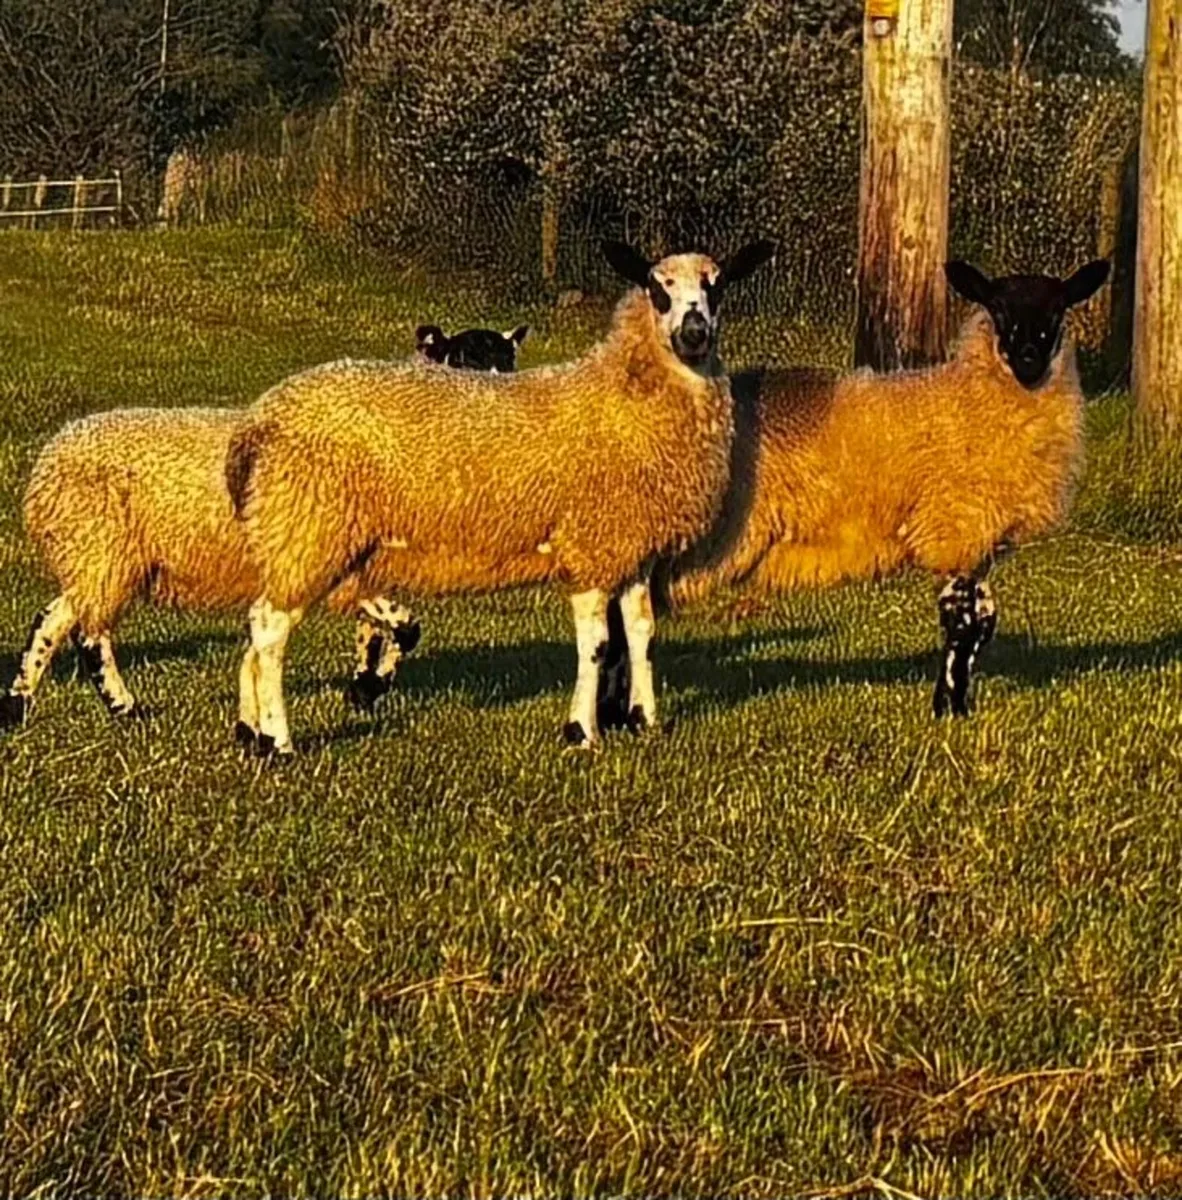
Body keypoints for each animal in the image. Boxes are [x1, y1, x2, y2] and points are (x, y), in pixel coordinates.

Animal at [0, 319, 529, 733]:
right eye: (463, 357)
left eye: (510, 361)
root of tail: (49, 459)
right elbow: (404, 626)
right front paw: (368, 688)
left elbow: (380, 629)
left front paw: (363, 688)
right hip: (103, 549)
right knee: (89, 634)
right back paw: (121, 705)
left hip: (97, 556)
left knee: (54, 620)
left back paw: (24, 704)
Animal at [224, 238, 777, 756]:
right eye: (656, 288)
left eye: (717, 285)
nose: (694, 333)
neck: (622, 395)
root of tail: (262, 416)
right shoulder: (589, 544)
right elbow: (597, 644)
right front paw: (583, 731)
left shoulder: (632, 546)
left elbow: (642, 632)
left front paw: (647, 720)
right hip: (310, 526)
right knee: (270, 629)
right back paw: (279, 741)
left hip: (311, 534)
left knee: (257, 629)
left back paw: (250, 730)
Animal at [597, 258, 1110, 724]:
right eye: (998, 308)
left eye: (1058, 310)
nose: (1028, 358)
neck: (967, 398)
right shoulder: (953, 527)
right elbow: (961, 624)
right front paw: (947, 709)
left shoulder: (977, 542)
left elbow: (983, 622)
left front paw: (959, 706)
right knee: (619, 621)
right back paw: (614, 717)